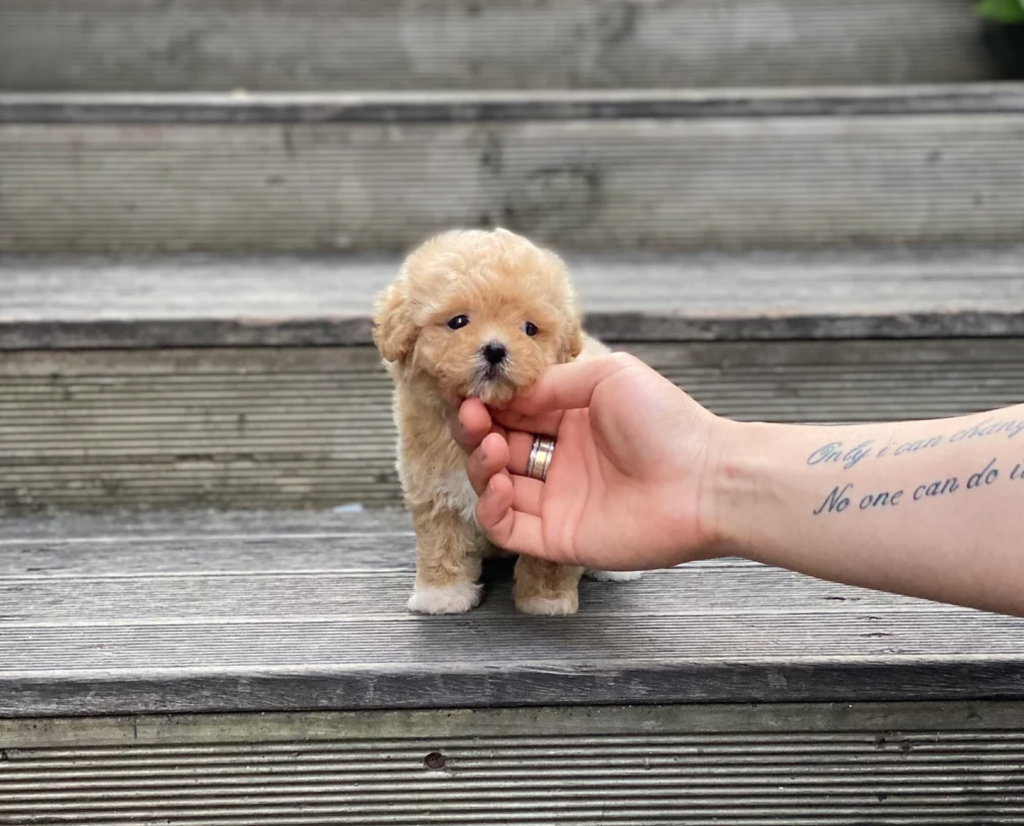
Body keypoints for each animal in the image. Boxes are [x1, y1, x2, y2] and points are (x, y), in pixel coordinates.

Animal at [372, 229, 634, 618]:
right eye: (458, 321)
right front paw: (443, 594)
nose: (495, 349)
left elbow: (550, 557)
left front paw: (545, 599)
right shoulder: (435, 488)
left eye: (529, 328)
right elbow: (442, 540)